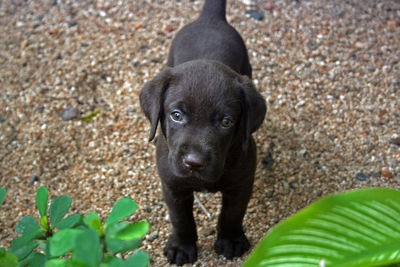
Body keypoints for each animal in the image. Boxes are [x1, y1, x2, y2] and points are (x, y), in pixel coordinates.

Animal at [139, 0, 268, 266]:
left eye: (227, 122)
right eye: (176, 115)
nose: (194, 163)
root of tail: (210, 17)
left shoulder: (241, 182)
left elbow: (232, 214)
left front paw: (231, 241)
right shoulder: (173, 186)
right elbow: (181, 219)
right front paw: (181, 247)